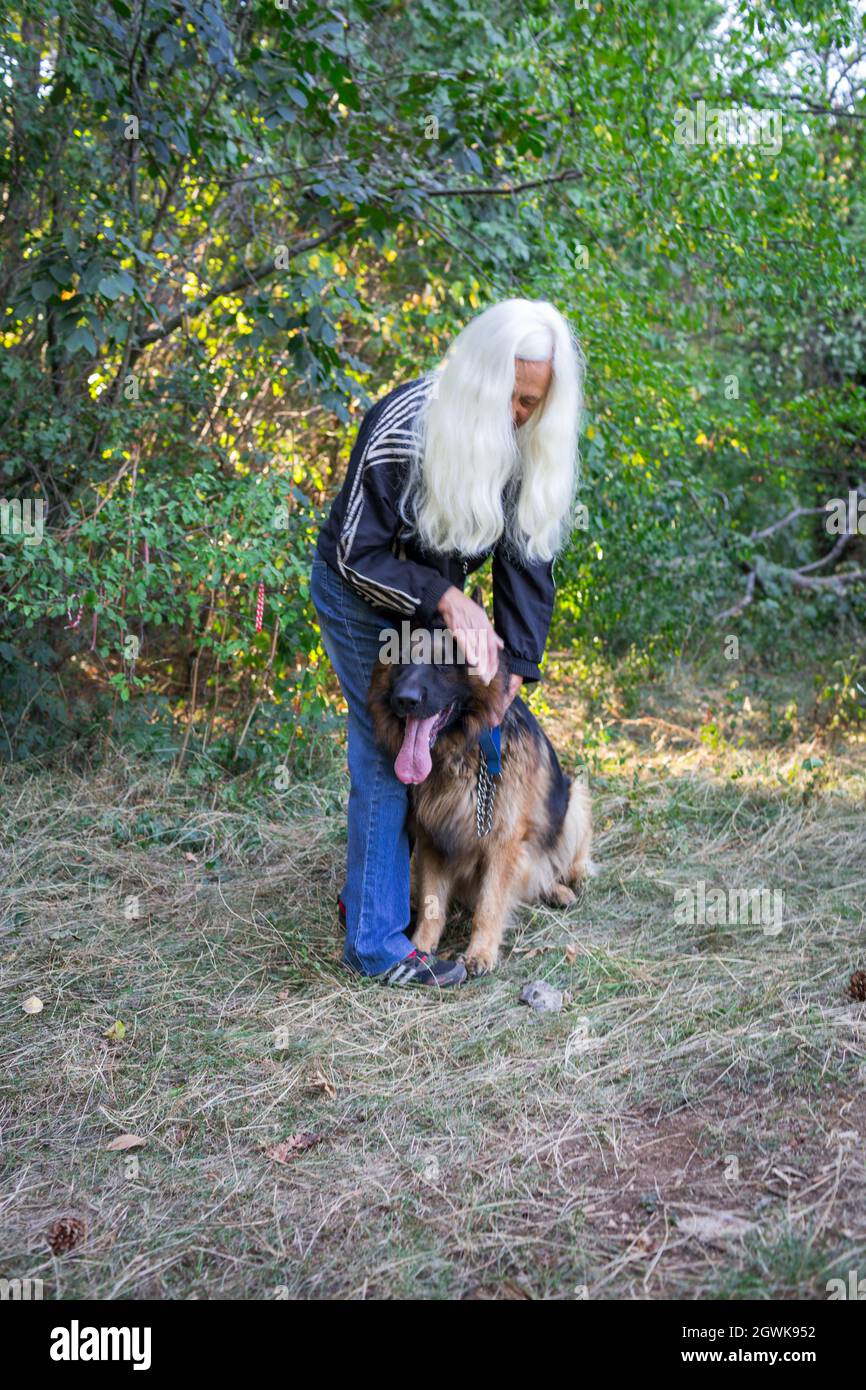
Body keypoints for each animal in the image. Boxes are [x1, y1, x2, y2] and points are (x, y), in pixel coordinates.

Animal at [369, 606, 592, 978]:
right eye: (401, 660)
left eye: (443, 663)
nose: (405, 700)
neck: (460, 755)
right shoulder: (434, 836)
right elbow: (432, 902)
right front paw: (420, 947)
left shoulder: (503, 842)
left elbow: (490, 904)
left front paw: (481, 952)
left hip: (574, 804)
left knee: (552, 866)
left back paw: (557, 889)